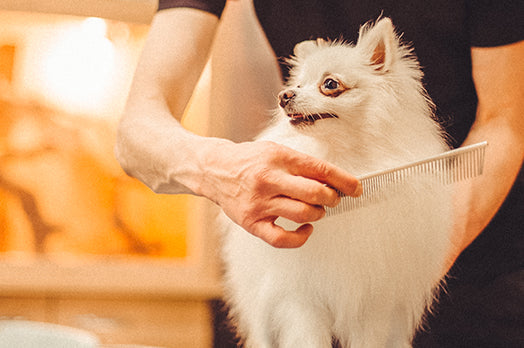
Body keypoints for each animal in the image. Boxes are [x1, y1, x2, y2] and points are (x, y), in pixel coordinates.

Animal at [219, 17, 452, 346]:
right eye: (297, 85)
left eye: (330, 84)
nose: (284, 95)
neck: (340, 157)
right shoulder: (301, 299)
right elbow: (308, 337)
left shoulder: (374, 303)